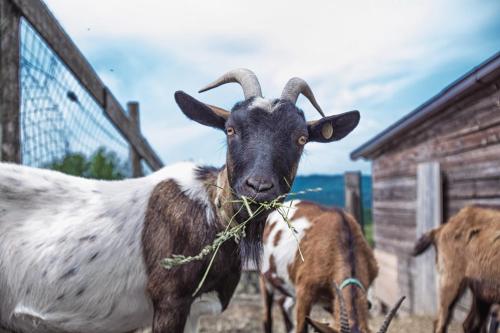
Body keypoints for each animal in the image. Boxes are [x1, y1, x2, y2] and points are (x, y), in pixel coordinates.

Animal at [0, 68, 360, 330]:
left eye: (301, 138)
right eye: (230, 129)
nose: (258, 187)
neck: (209, 211)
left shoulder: (195, 309)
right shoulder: (170, 301)